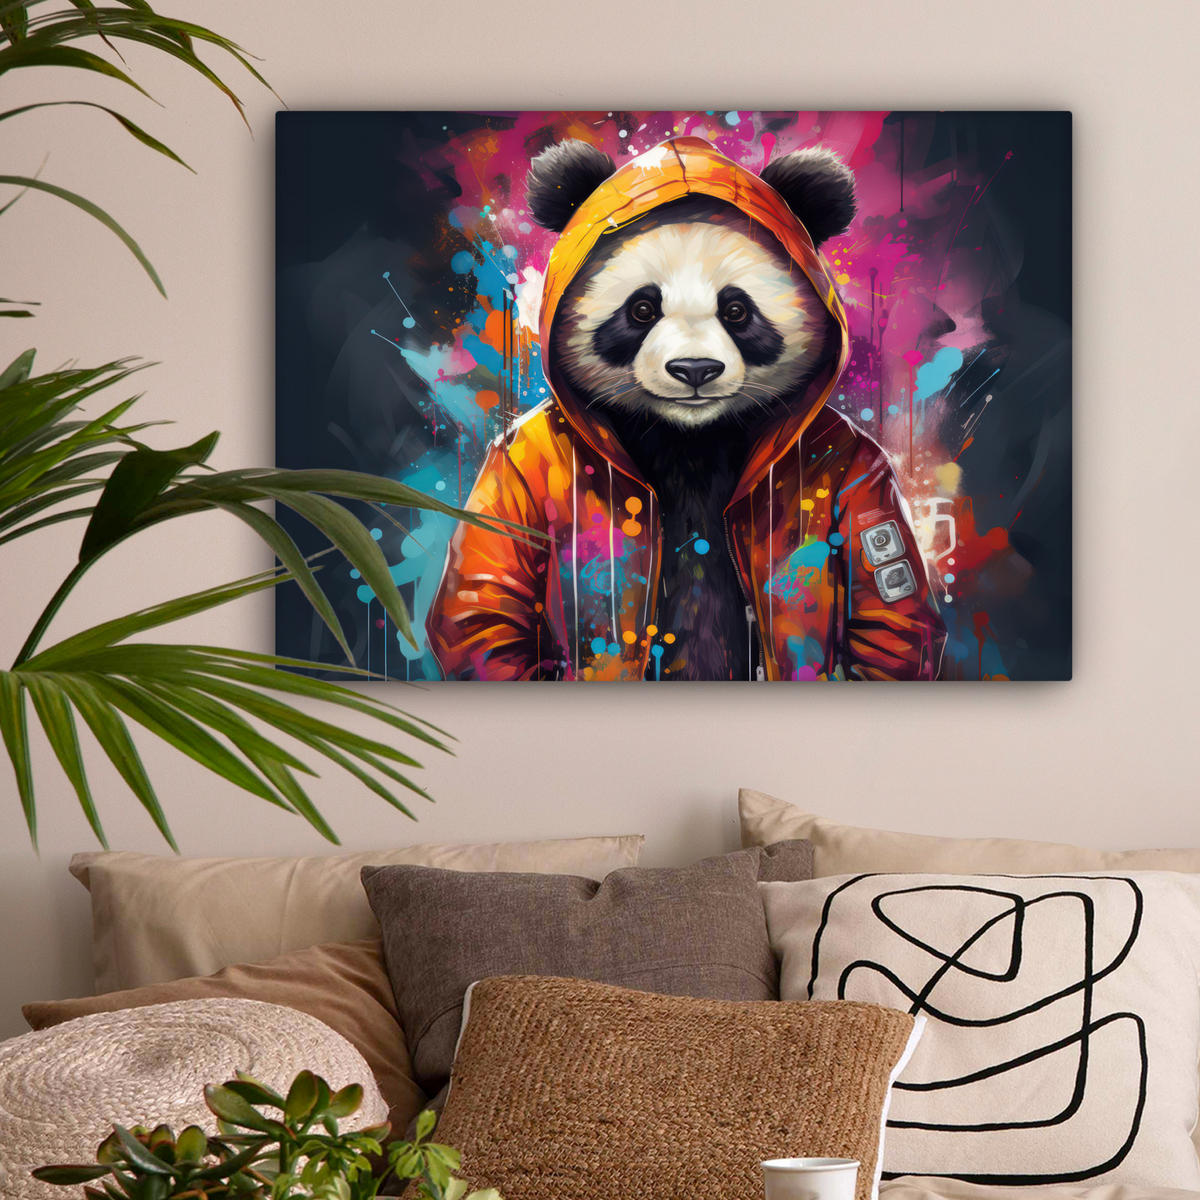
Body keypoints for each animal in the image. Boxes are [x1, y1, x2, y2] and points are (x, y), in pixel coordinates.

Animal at [427, 136, 945, 682]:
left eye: (737, 310)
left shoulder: (856, 460)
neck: (690, 435)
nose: (694, 369)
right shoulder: (519, 458)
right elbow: (490, 597)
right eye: (641, 309)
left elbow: (885, 613)